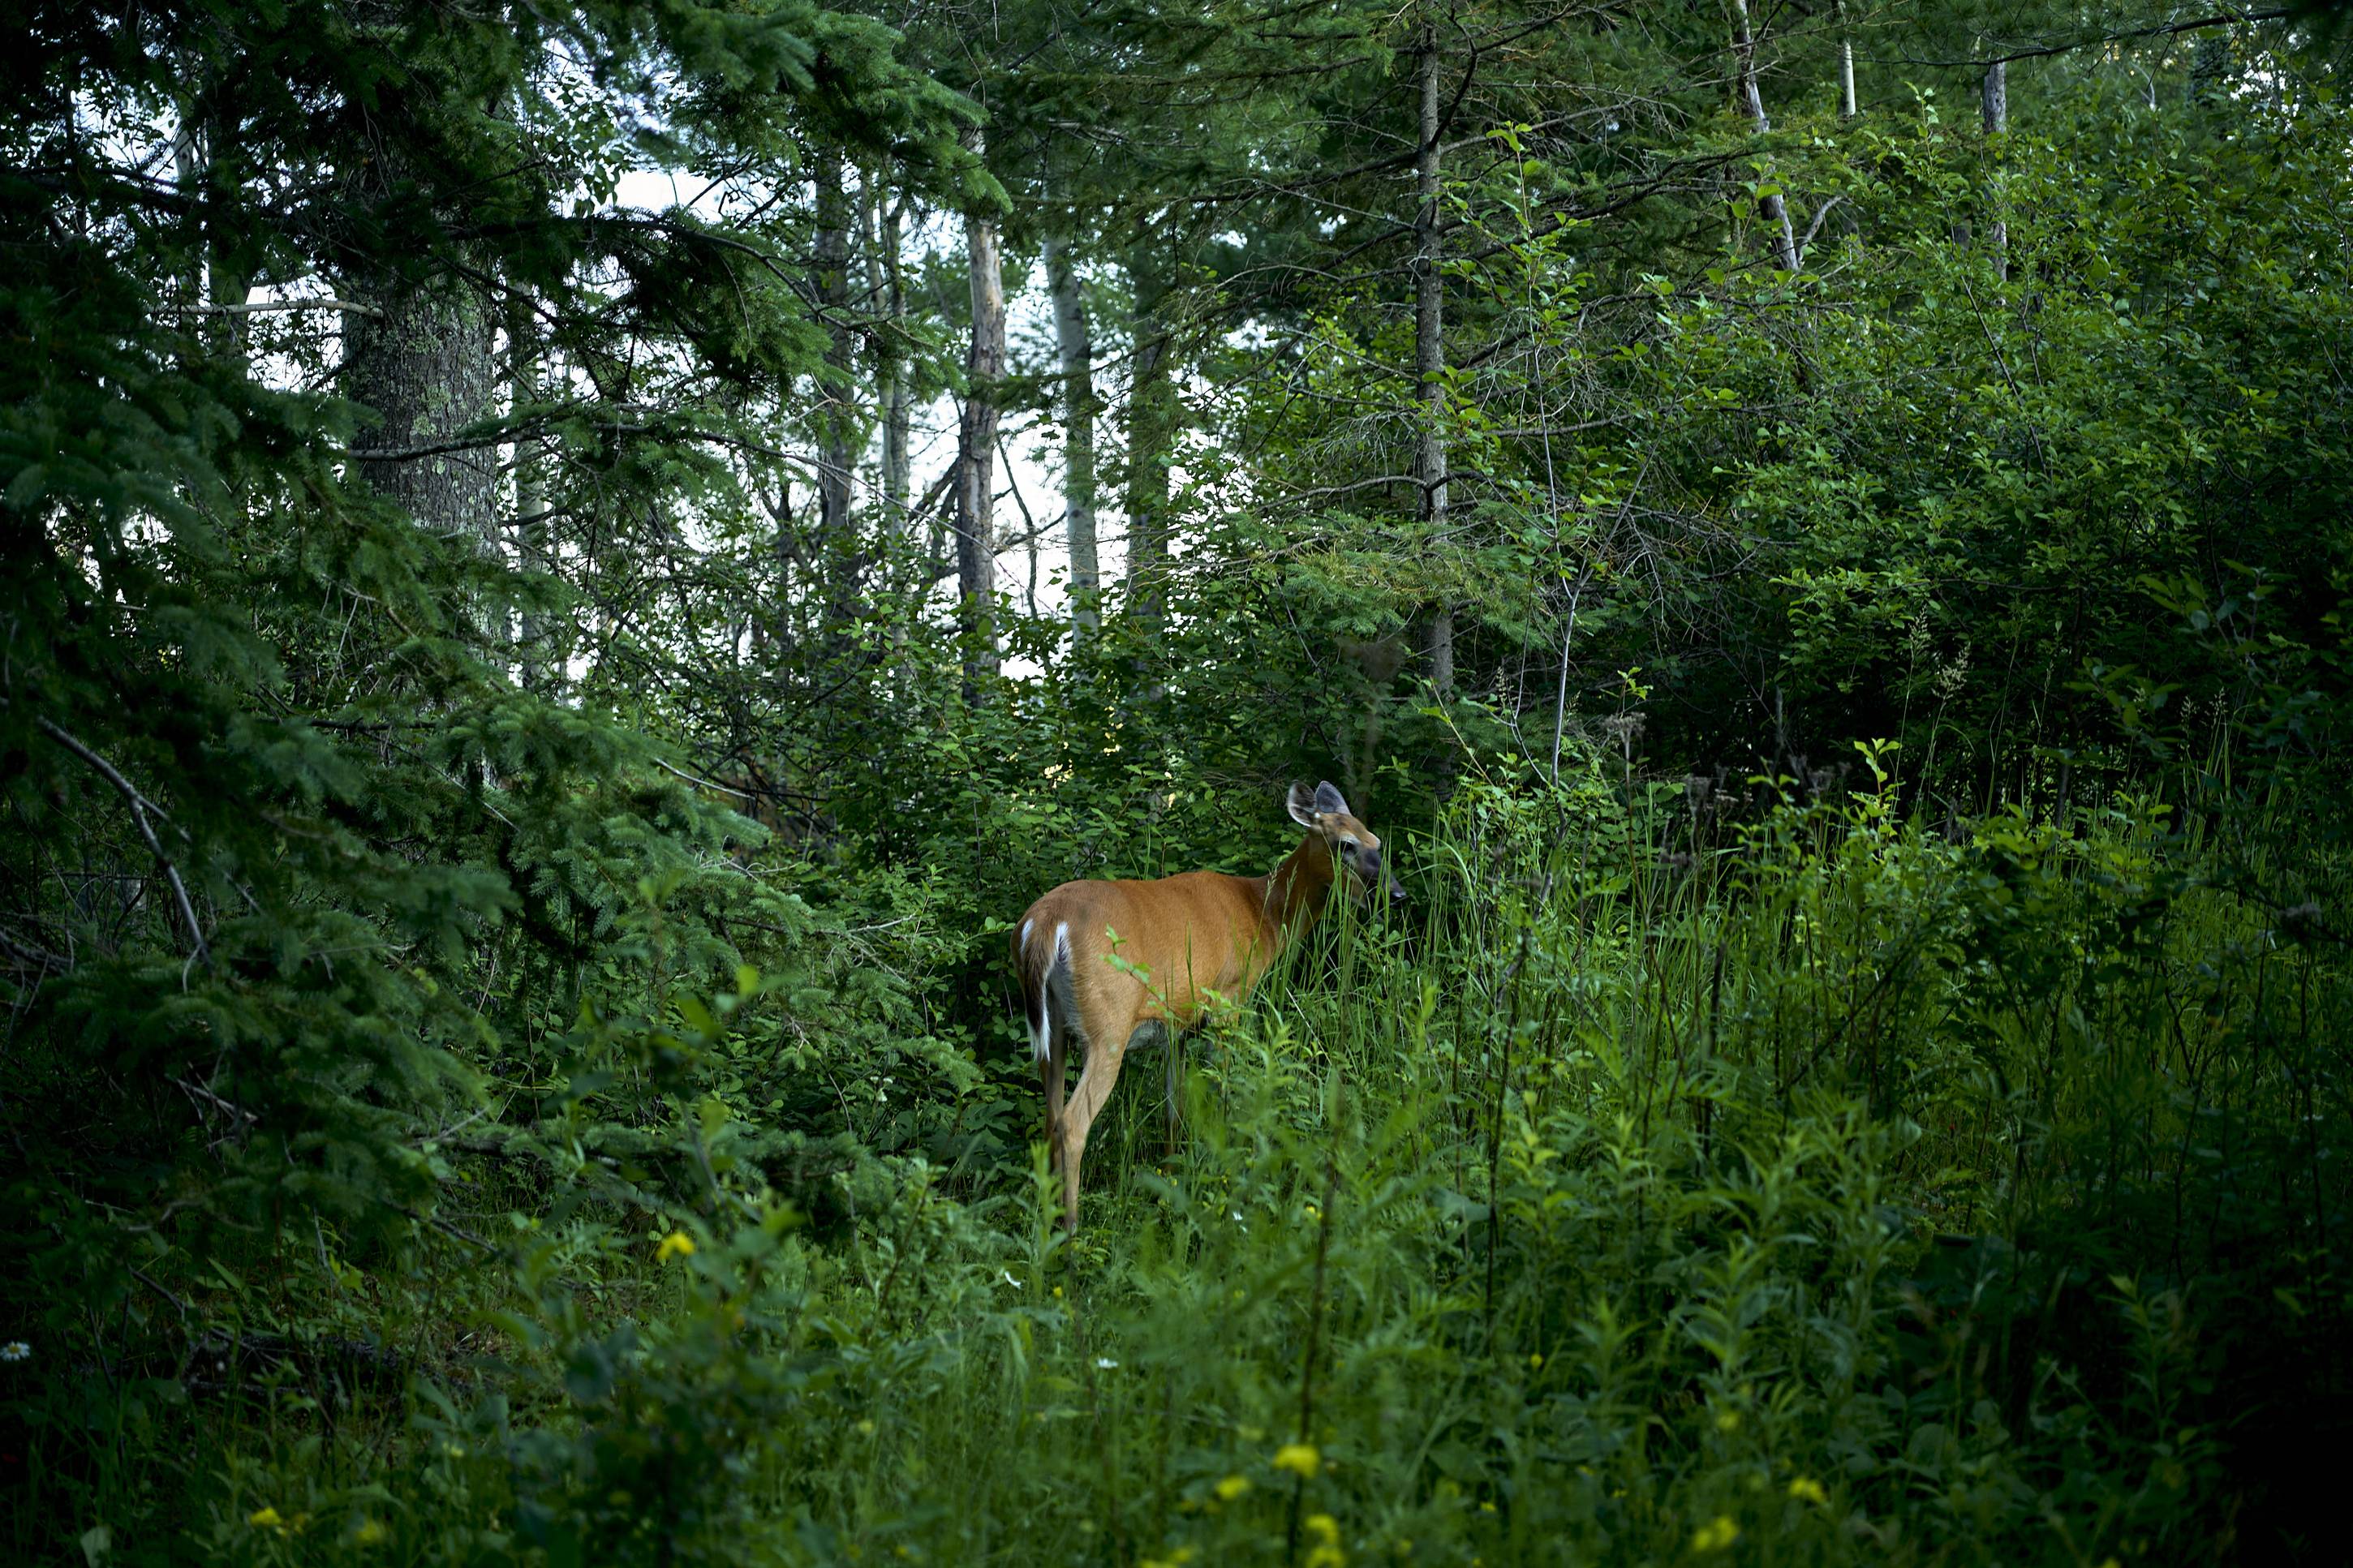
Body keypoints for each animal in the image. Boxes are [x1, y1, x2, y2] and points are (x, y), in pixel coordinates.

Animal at [1012, 780, 1404, 1233]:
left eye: (1377, 841)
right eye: (1345, 845)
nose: (1396, 895)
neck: (1262, 912)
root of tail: (1042, 924)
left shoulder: (1175, 1024)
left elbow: (1173, 1107)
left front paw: (1169, 1176)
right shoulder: (1229, 999)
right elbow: (1225, 1095)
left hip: (1051, 1028)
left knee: (1049, 1119)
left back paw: (1046, 1218)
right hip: (1107, 1024)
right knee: (1073, 1123)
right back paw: (1071, 1229)